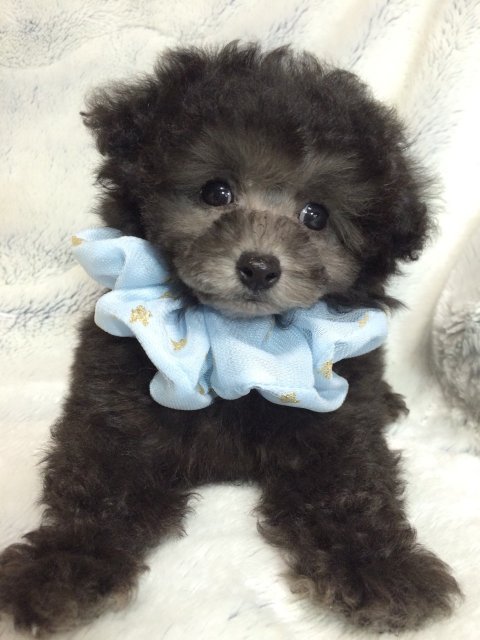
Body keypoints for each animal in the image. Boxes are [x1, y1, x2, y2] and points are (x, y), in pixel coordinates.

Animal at [0, 43, 461, 635]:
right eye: (216, 191)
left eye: (316, 216)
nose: (260, 266)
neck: (237, 339)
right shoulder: (116, 399)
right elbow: (100, 482)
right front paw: (62, 565)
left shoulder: (338, 418)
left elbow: (351, 486)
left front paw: (381, 569)